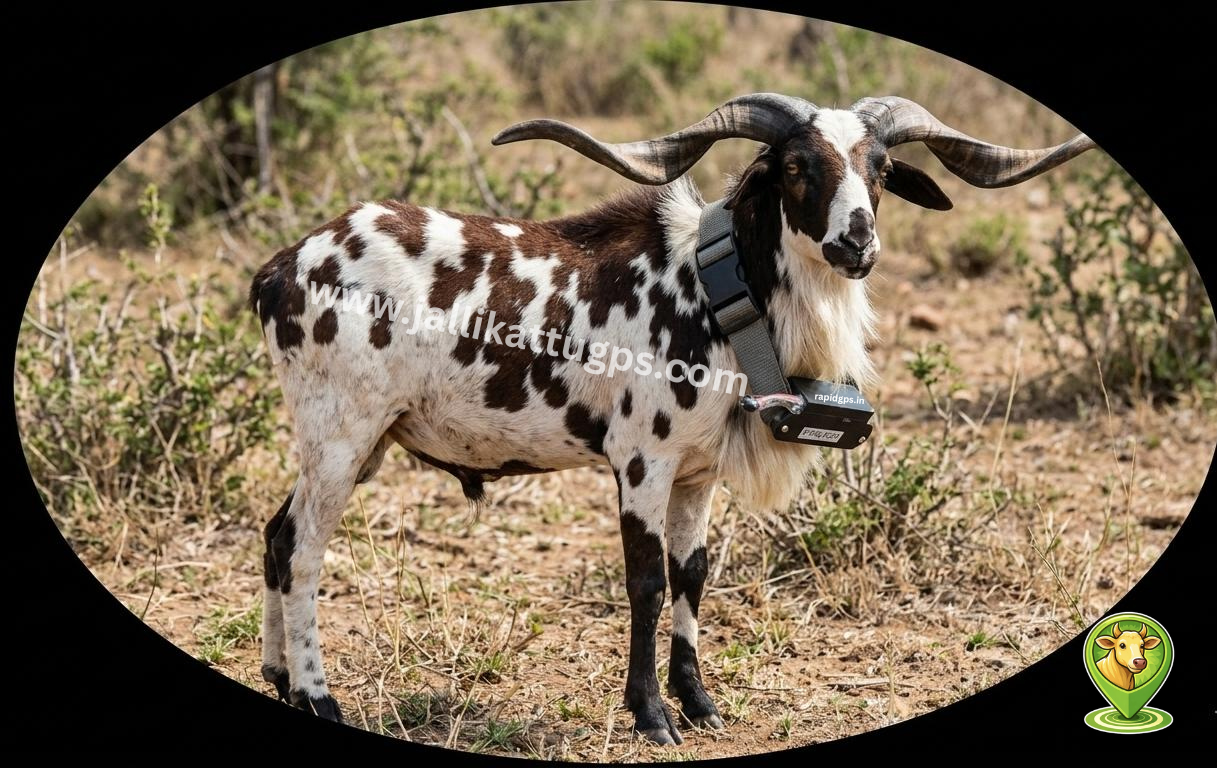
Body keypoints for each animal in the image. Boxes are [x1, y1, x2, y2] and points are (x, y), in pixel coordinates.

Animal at [249, 93, 1094, 744]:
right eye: (796, 167)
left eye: (879, 168)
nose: (856, 243)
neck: (716, 295)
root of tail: (284, 266)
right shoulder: (641, 464)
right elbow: (647, 583)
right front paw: (651, 715)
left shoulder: (697, 474)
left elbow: (692, 574)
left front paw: (699, 703)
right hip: (340, 437)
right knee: (303, 553)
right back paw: (319, 694)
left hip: (355, 447)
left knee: (275, 536)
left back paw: (278, 679)